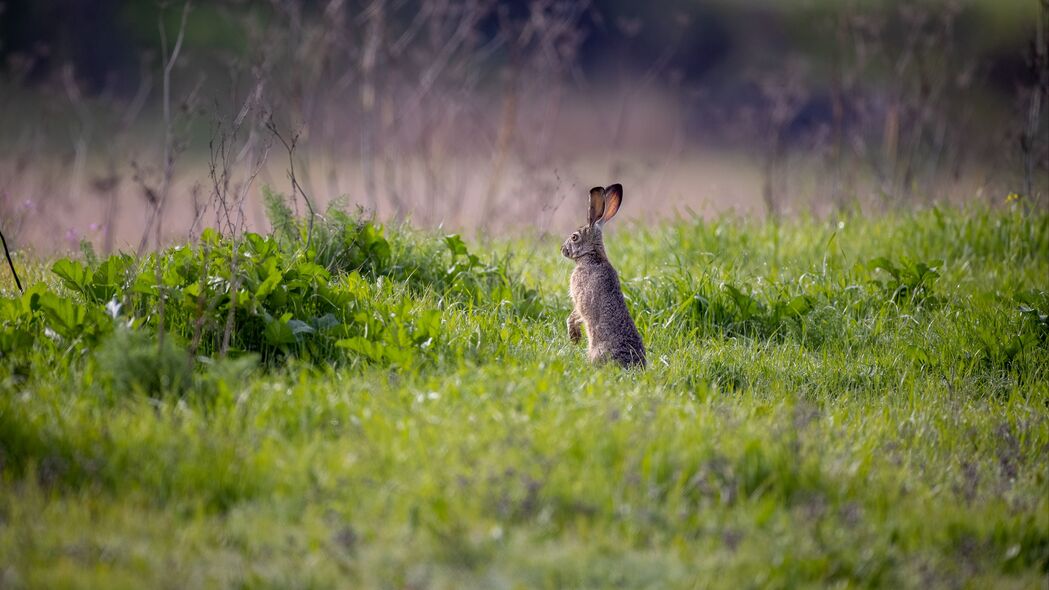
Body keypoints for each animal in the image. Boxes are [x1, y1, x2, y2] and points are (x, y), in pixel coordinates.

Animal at [562, 183, 641, 367]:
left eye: (574, 237)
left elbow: (576, 314)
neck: (592, 256)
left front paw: (574, 336)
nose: (562, 249)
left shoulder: (580, 297)